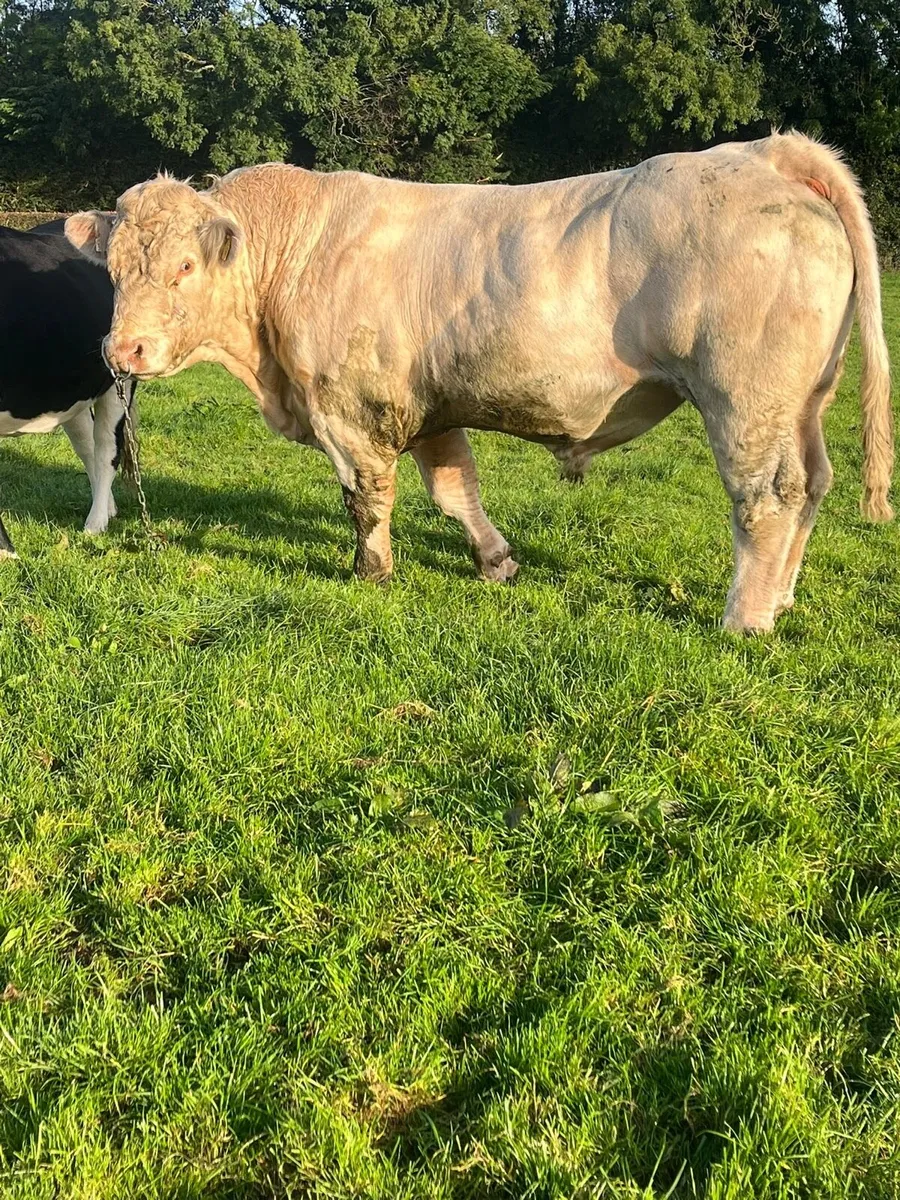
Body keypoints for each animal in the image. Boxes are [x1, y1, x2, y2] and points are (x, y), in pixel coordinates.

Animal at [0, 218, 136, 557]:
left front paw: (6, 551)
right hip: (71, 393)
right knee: (86, 445)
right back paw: (108, 509)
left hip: (121, 382)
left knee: (106, 448)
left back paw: (96, 523)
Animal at [65, 131, 893, 632]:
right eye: (112, 269)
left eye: (184, 266)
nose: (123, 349)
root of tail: (763, 151)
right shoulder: (426, 407)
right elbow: (453, 489)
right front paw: (496, 562)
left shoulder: (349, 409)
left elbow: (368, 498)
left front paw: (372, 572)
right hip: (804, 400)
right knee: (814, 484)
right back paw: (782, 596)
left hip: (744, 397)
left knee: (768, 494)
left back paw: (746, 617)